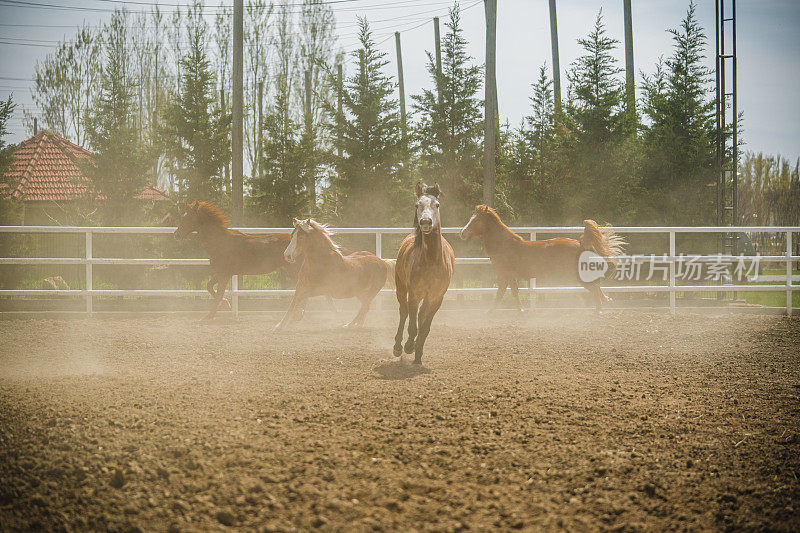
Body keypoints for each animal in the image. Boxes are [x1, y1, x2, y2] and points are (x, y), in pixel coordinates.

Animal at [392, 181, 454, 364]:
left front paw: (418, 355)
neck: (432, 260)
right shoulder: (414, 294)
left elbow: (425, 328)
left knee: (420, 316)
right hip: (401, 288)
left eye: (437, 204)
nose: (425, 221)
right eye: (417, 204)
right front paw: (408, 346)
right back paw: (398, 346)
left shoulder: (436, 298)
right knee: (404, 312)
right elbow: (413, 326)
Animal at [456, 205, 624, 312]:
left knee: (594, 287)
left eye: (476, 220)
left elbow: (501, 294)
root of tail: (580, 244)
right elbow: (514, 292)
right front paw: (521, 310)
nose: (462, 233)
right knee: (596, 285)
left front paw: (490, 311)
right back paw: (605, 302)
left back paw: (599, 309)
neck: (504, 245)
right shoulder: (510, 276)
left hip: (575, 274)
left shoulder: (504, 275)